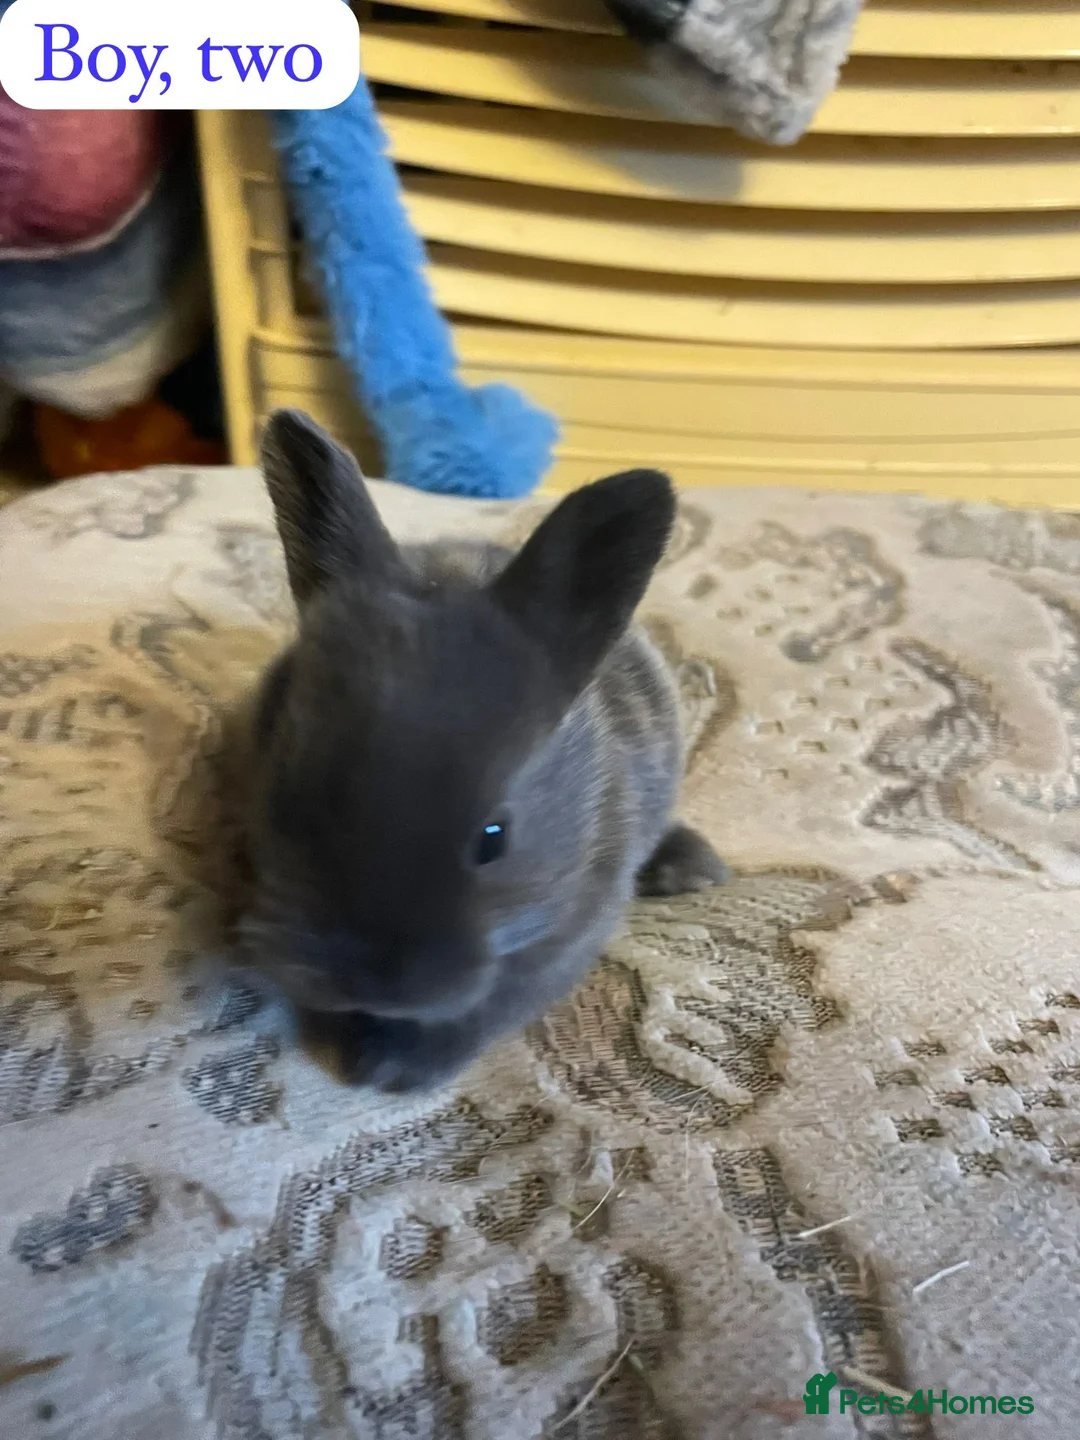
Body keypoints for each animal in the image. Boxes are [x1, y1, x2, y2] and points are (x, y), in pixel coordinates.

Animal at [235, 409, 728, 1092]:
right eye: (290, 797)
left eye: (494, 838)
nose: (373, 984)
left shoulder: (563, 940)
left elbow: (486, 1009)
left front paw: (387, 1065)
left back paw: (692, 869)